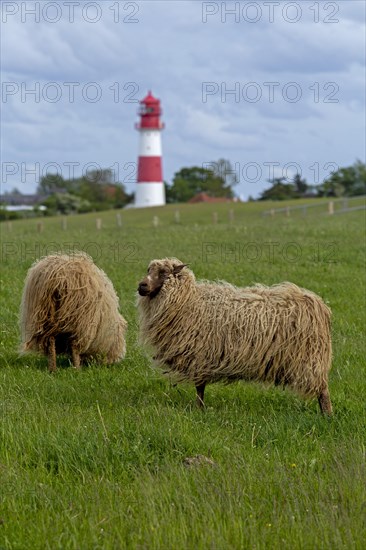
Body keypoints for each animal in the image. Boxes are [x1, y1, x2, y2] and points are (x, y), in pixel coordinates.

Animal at [136, 258, 334, 414]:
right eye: (148, 270)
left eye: (163, 272)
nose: (141, 286)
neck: (188, 301)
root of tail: (317, 304)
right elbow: (200, 387)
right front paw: (200, 408)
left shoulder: (199, 355)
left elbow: (199, 387)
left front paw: (200, 409)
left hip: (310, 358)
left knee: (323, 389)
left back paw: (327, 416)